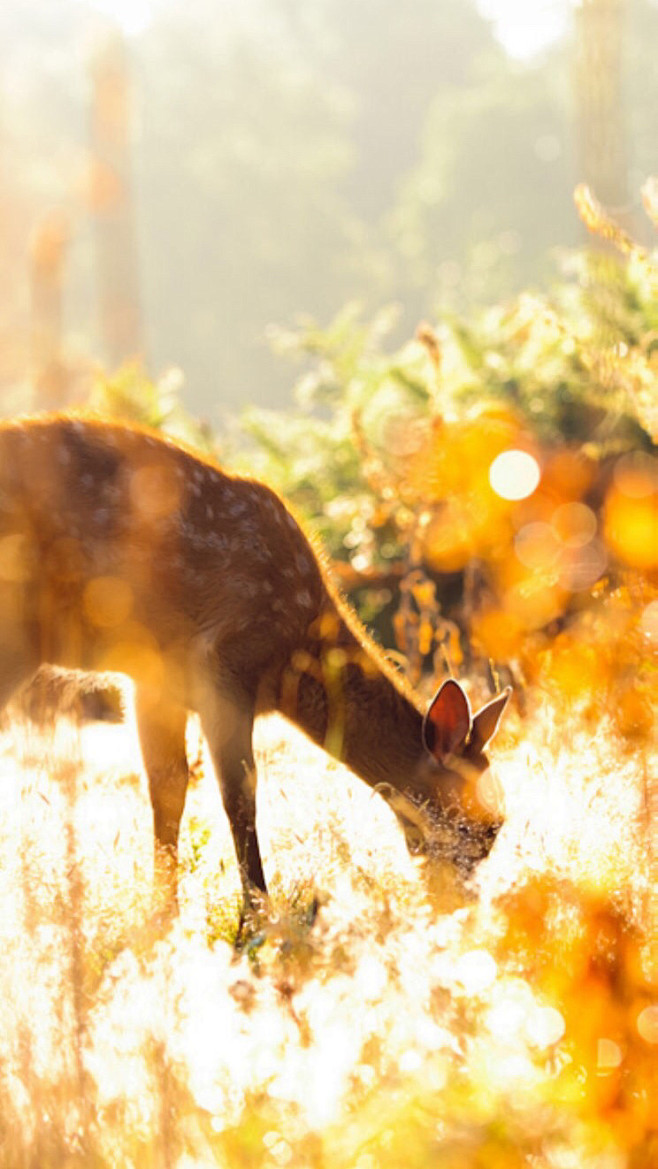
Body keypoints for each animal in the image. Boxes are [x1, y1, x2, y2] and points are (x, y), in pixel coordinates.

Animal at [0, 416, 511, 907]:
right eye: (483, 826)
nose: (464, 907)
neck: (292, 659)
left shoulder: (154, 681)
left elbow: (168, 788)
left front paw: (162, 914)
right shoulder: (225, 664)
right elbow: (239, 795)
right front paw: (256, 914)